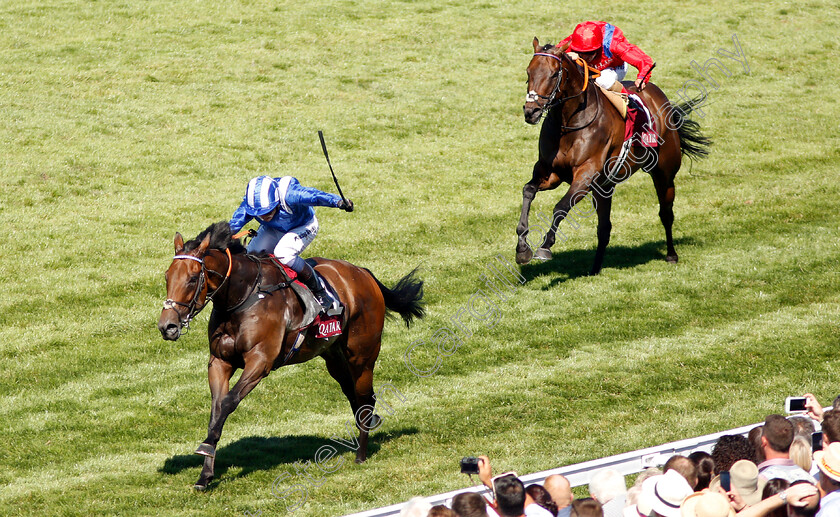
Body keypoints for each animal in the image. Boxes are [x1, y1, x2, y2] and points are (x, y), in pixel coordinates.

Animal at [157, 222, 424, 488]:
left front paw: (206, 448)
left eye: (193, 279)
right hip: (334, 357)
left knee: (365, 396)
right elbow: (216, 409)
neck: (243, 296)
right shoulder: (220, 362)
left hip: (362, 356)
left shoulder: (260, 361)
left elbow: (228, 402)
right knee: (354, 394)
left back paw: (361, 454)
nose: (167, 326)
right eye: (167, 276)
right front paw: (205, 473)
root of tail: (363, 273)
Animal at [520, 37, 708, 272]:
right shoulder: (550, 172)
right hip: (604, 187)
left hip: (663, 173)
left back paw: (671, 254)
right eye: (528, 72)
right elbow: (528, 191)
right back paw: (595, 268)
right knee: (604, 227)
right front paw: (522, 248)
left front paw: (544, 247)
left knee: (666, 213)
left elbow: (561, 207)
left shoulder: (585, 174)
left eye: (554, 74)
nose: (531, 112)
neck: (569, 124)